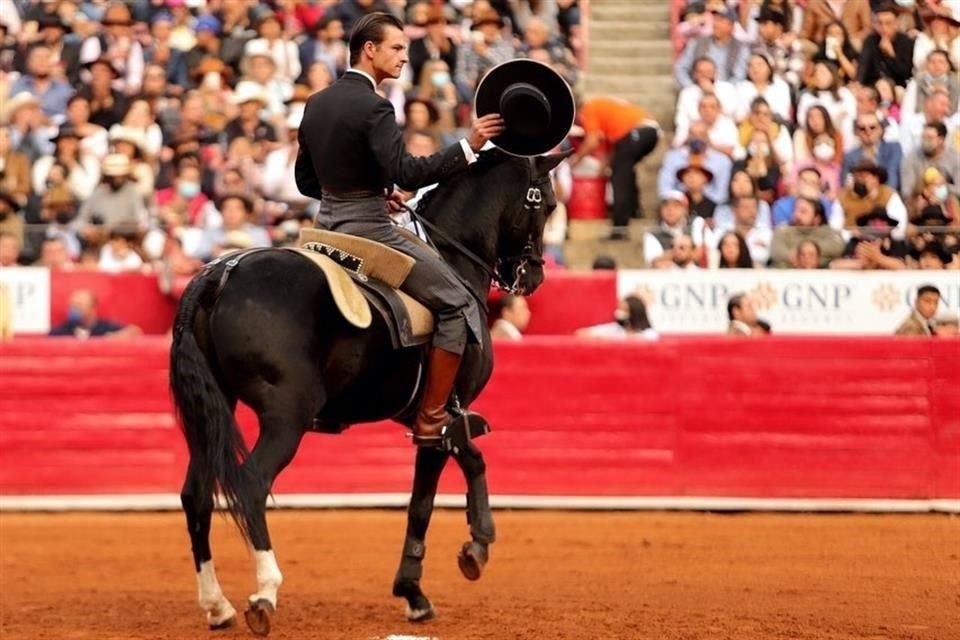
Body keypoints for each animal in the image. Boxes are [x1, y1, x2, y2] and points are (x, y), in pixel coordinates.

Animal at [168, 149, 568, 636]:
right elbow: (430, 496)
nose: (533, 277)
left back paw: (217, 604)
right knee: (251, 483)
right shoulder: (440, 418)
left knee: (196, 493)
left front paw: (443, 570)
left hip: (210, 412)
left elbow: (452, 475)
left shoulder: (428, 419)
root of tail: (221, 275)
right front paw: (455, 563)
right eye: (547, 204)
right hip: (286, 417)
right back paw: (264, 594)